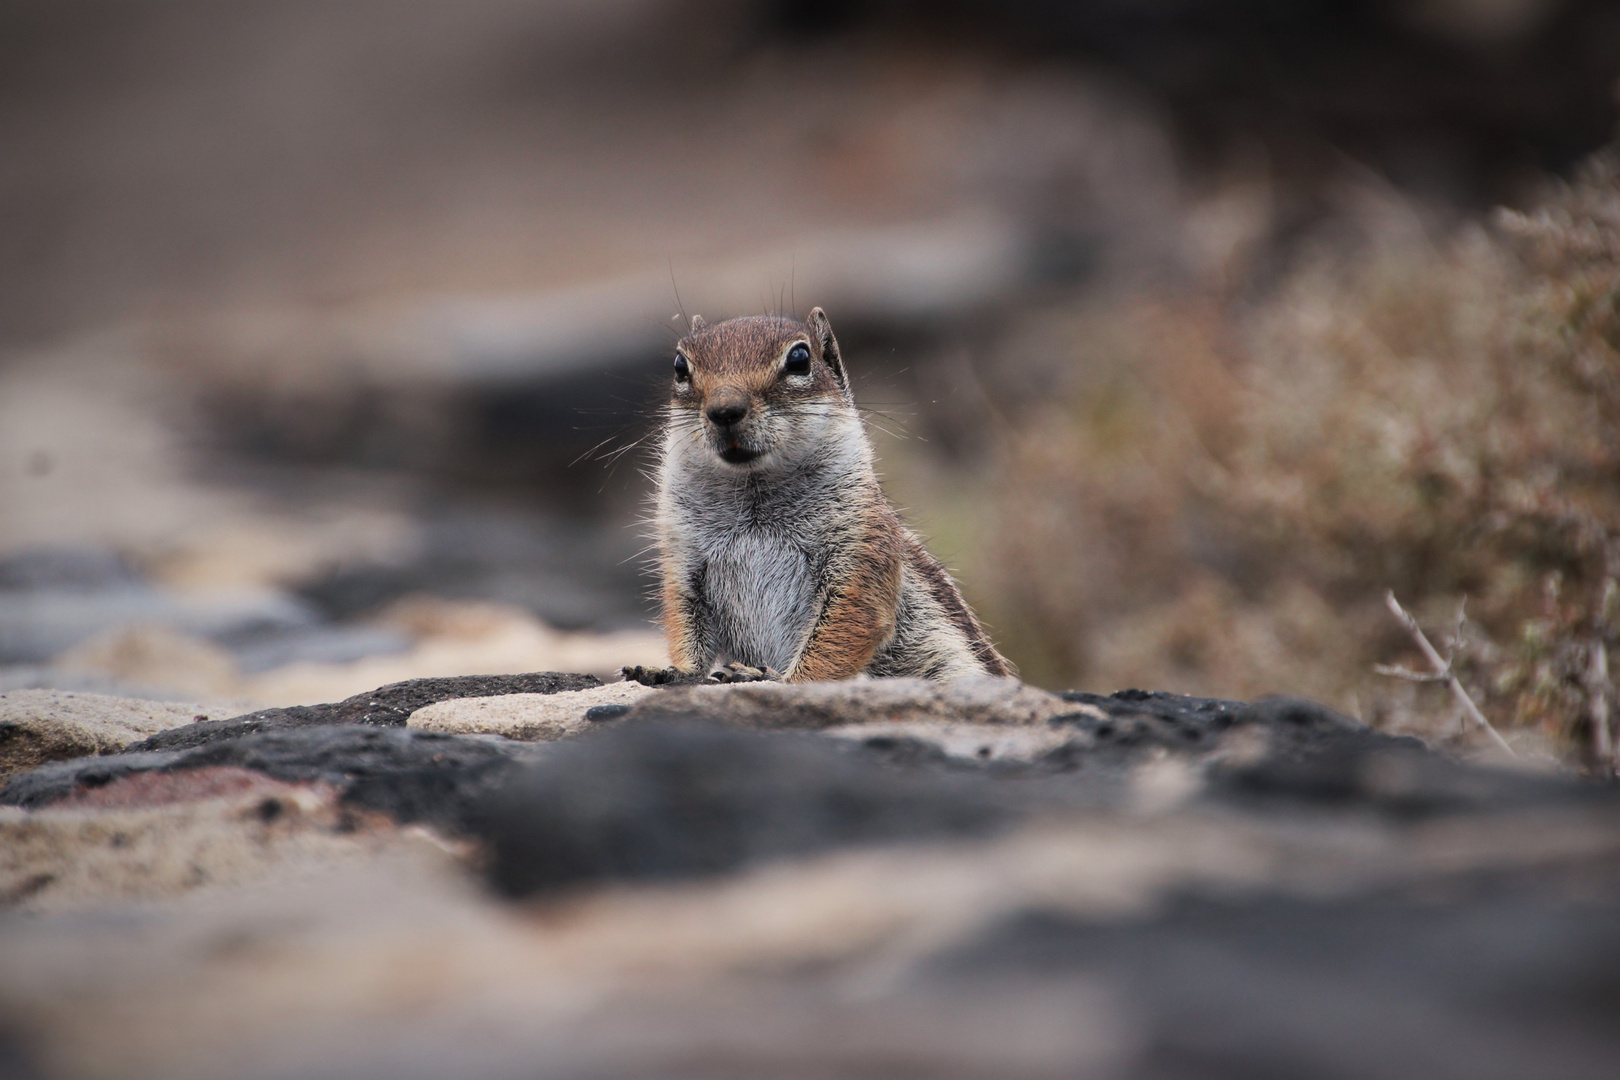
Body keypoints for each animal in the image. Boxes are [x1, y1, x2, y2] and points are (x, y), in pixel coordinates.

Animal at [625, 304, 1004, 683]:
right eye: (679, 366)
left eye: (799, 359)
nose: (724, 410)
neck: (754, 490)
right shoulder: (683, 560)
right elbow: (686, 624)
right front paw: (674, 672)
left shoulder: (860, 547)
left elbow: (840, 634)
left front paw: (774, 678)